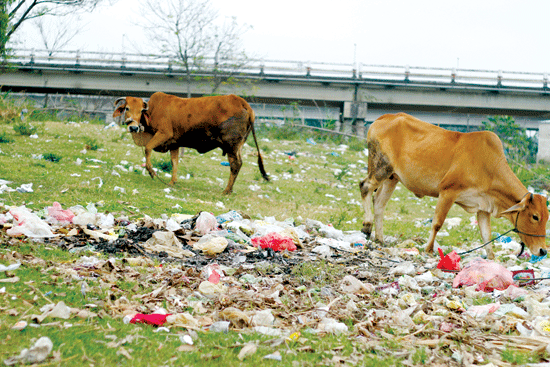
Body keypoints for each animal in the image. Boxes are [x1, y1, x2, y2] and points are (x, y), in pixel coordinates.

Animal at [113, 92, 268, 194]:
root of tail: (242, 102)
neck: (152, 111)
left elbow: (147, 148)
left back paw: (226, 190)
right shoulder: (174, 144)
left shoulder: (164, 134)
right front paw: (172, 182)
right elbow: (174, 162)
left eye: (141, 110)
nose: (133, 127)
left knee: (235, 165)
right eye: (127, 108)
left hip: (231, 145)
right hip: (238, 145)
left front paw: (151, 172)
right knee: (239, 164)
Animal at [360, 113, 548, 260]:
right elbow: (437, 223)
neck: (489, 167)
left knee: (379, 202)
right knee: (365, 187)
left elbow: (486, 234)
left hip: (392, 177)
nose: (543, 251)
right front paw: (429, 249)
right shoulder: (448, 192)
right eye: (535, 216)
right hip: (381, 167)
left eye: (547, 217)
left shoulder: (483, 207)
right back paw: (367, 226)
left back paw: (380, 238)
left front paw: (491, 258)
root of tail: (384, 118)